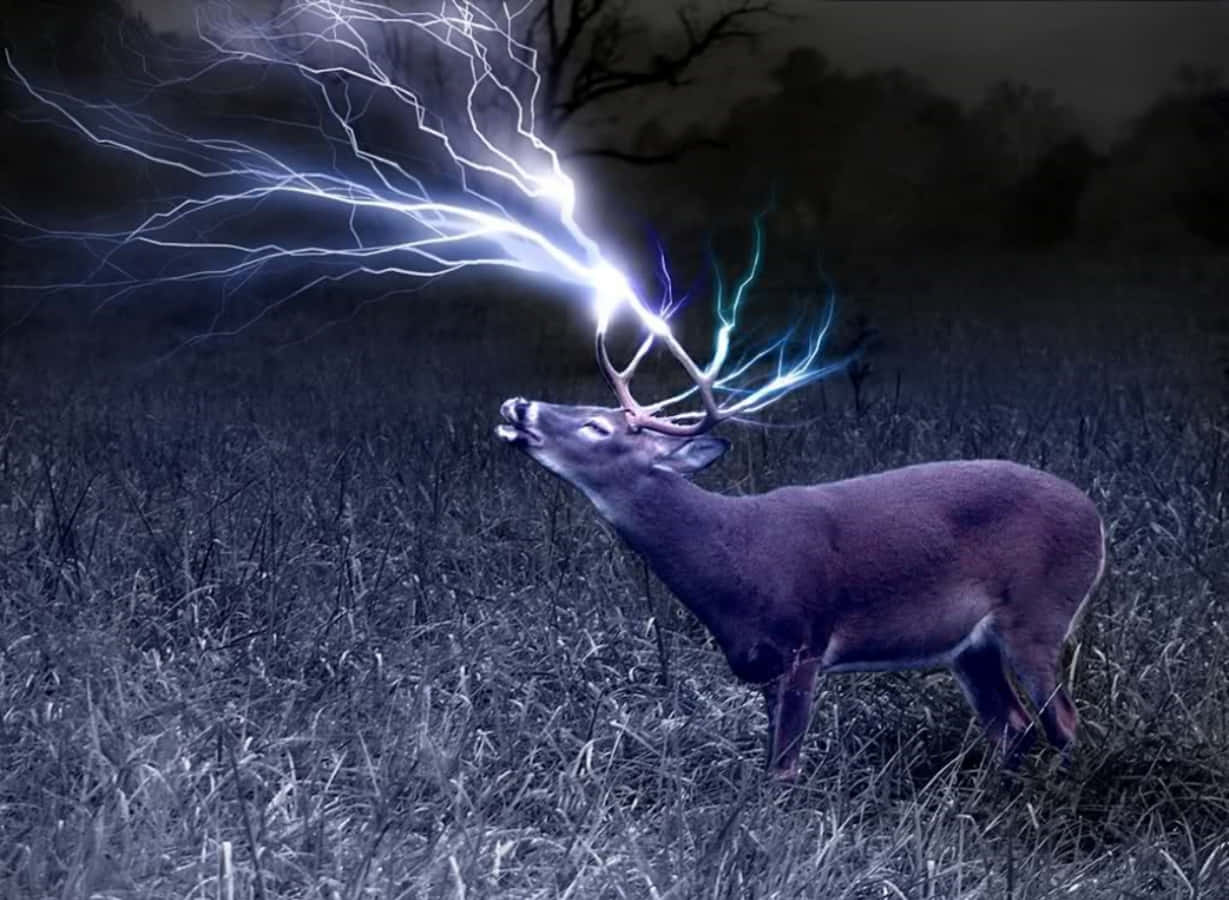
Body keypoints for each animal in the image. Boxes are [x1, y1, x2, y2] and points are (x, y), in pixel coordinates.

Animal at [495, 309, 1106, 779]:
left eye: (597, 426)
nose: (516, 406)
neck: (732, 557)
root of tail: (1096, 519)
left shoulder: (804, 642)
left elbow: (784, 771)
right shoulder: (765, 664)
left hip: (1039, 613)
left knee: (1063, 720)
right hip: (969, 647)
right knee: (1012, 724)